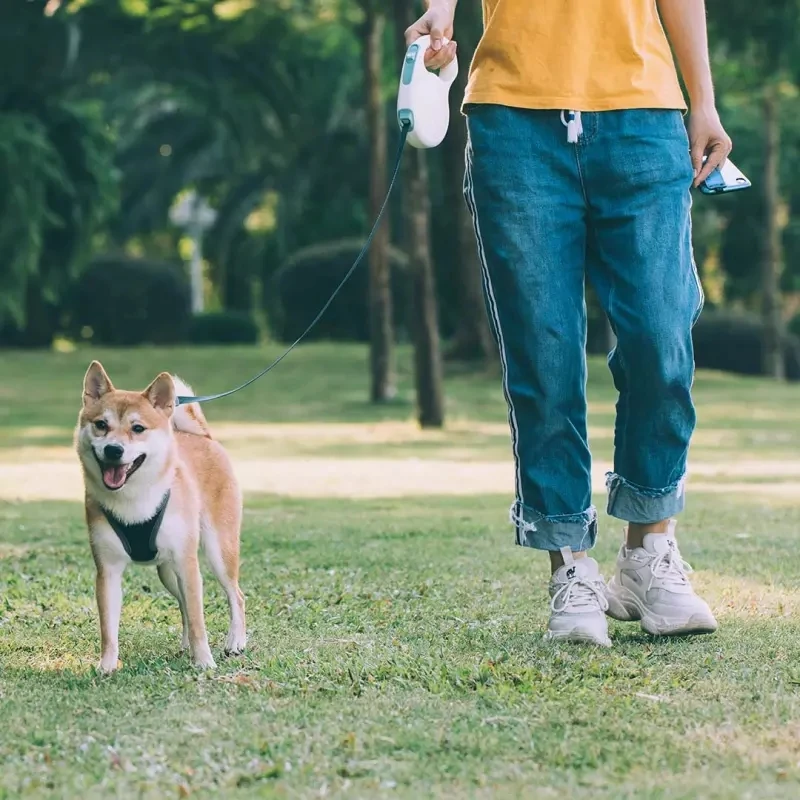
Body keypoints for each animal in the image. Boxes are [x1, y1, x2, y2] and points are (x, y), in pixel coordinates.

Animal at [75, 360, 245, 668]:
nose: (113, 449)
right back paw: (186, 646)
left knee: (235, 596)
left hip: (218, 552)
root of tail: (202, 436)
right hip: (167, 572)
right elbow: (108, 629)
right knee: (184, 606)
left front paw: (205, 663)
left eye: (138, 428)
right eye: (101, 425)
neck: (134, 498)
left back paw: (236, 642)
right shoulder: (108, 569)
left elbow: (200, 621)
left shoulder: (188, 565)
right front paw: (107, 667)